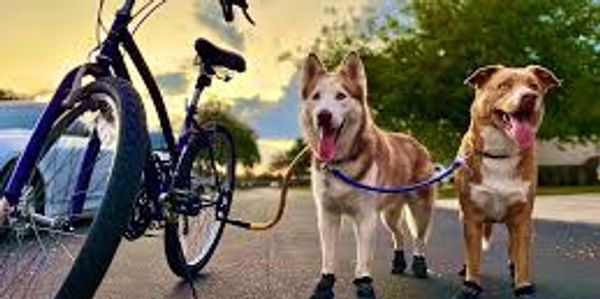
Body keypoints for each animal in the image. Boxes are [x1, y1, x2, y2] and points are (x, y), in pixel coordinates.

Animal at [300, 53, 436, 299]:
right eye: (316, 96)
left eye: (341, 96)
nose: (323, 115)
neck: (341, 162)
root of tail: (416, 142)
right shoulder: (327, 215)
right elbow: (328, 255)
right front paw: (325, 284)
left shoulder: (365, 217)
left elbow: (363, 257)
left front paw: (364, 283)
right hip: (389, 214)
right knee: (399, 235)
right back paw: (399, 263)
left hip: (420, 208)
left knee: (419, 238)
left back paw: (420, 264)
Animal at [458, 65, 560, 299]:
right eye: (504, 85)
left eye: (533, 86)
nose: (529, 96)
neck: (500, 154)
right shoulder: (472, 217)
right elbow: (473, 255)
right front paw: (471, 284)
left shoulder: (522, 217)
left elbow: (521, 255)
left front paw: (523, 286)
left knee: (513, 248)